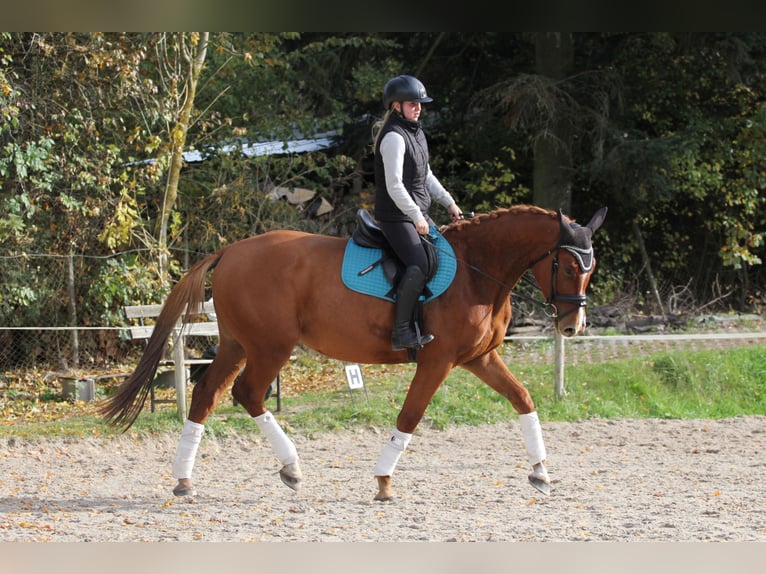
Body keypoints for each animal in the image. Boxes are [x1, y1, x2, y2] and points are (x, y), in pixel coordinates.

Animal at [101, 204, 607, 501]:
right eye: (566, 266)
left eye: (592, 266)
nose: (572, 326)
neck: (475, 270)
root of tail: (231, 251)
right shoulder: (438, 360)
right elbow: (410, 416)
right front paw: (383, 481)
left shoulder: (478, 358)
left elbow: (522, 398)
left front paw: (540, 471)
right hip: (270, 345)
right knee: (248, 394)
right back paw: (291, 468)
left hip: (237, 343)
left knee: (207, 395)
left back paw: (185, 479)